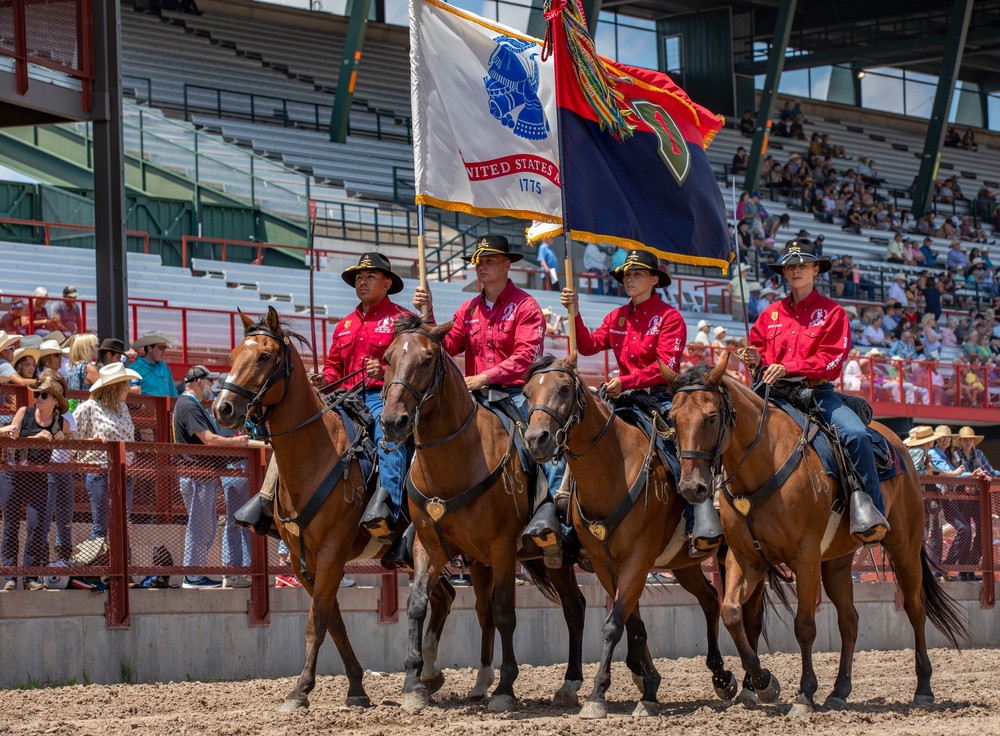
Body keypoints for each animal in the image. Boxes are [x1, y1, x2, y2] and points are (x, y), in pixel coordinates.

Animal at [215, 310, 458, 712]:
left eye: (264, 356)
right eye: (234, 354)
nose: (223, 408)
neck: (317, 453)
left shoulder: (331, 553)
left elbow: (317, 621)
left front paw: (299, 691)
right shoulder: (303, 560)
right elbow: (332, 620)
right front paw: (356, 687)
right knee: (444, 597)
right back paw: (429, 676)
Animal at [380, 316, 584, 712]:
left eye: (427, 360)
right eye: (386, 359)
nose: (393, 421)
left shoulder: (503, 548)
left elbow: (505, 611)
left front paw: (506, 688)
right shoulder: (428, 546)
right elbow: (417, 604)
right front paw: (414, 683)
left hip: (553, 558)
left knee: (573, 607)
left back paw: (569, 684)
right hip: (481, 563)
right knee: (488, 609)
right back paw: (482, 682)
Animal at [520, 356, 740, 720]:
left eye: (564, 388)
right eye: (526, 392)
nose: (537, 439)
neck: (615, 469)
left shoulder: (637, 559)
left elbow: (613, 625)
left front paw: (597, 695)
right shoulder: (605, 563)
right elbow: (632, 626)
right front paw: (649, 688)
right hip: (683, 563)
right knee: (710, 599)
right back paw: (721, 677)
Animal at [660, 360, 964, 716]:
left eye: (710, 416)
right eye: (673, 418)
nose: (691, 487)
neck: (764, 462)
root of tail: (897, 443)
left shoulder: (805, 558)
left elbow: (804, 625)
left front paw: (804, 694)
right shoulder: (745, 558)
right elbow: (732, 613)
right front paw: (764, 683)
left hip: (905, 546)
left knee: (915, 608)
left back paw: (923, 688)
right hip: (837, 561)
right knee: (849, 620)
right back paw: (839, 691)